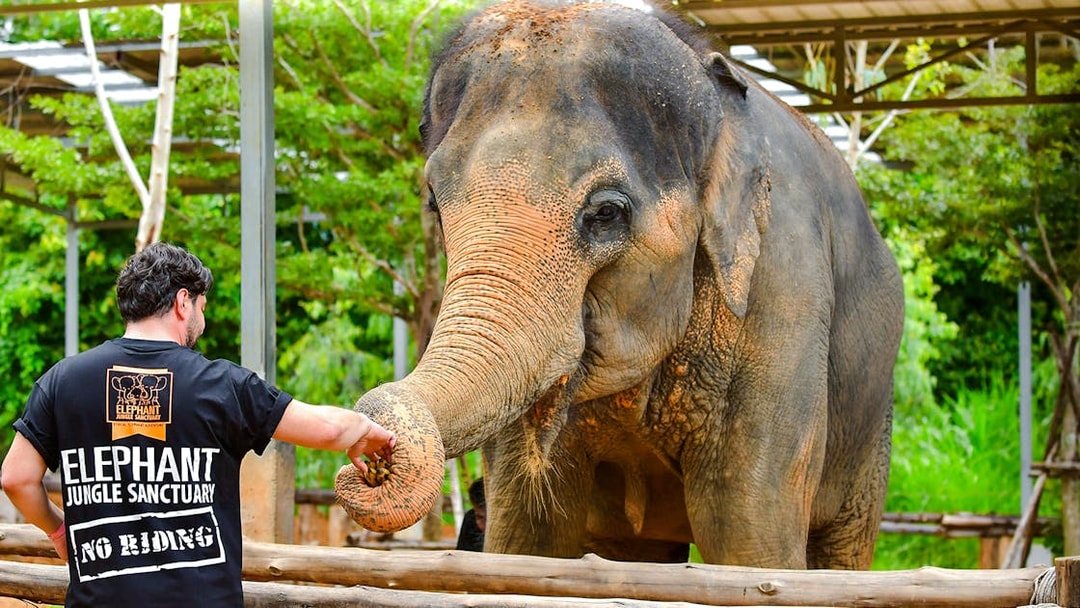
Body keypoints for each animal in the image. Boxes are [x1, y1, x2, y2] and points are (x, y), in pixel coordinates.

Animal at [335, 0, 905, 570]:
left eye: (607, 213)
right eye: (434, 203)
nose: (369, 459)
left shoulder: (782, 292)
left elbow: (748, 533)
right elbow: (527, 536)